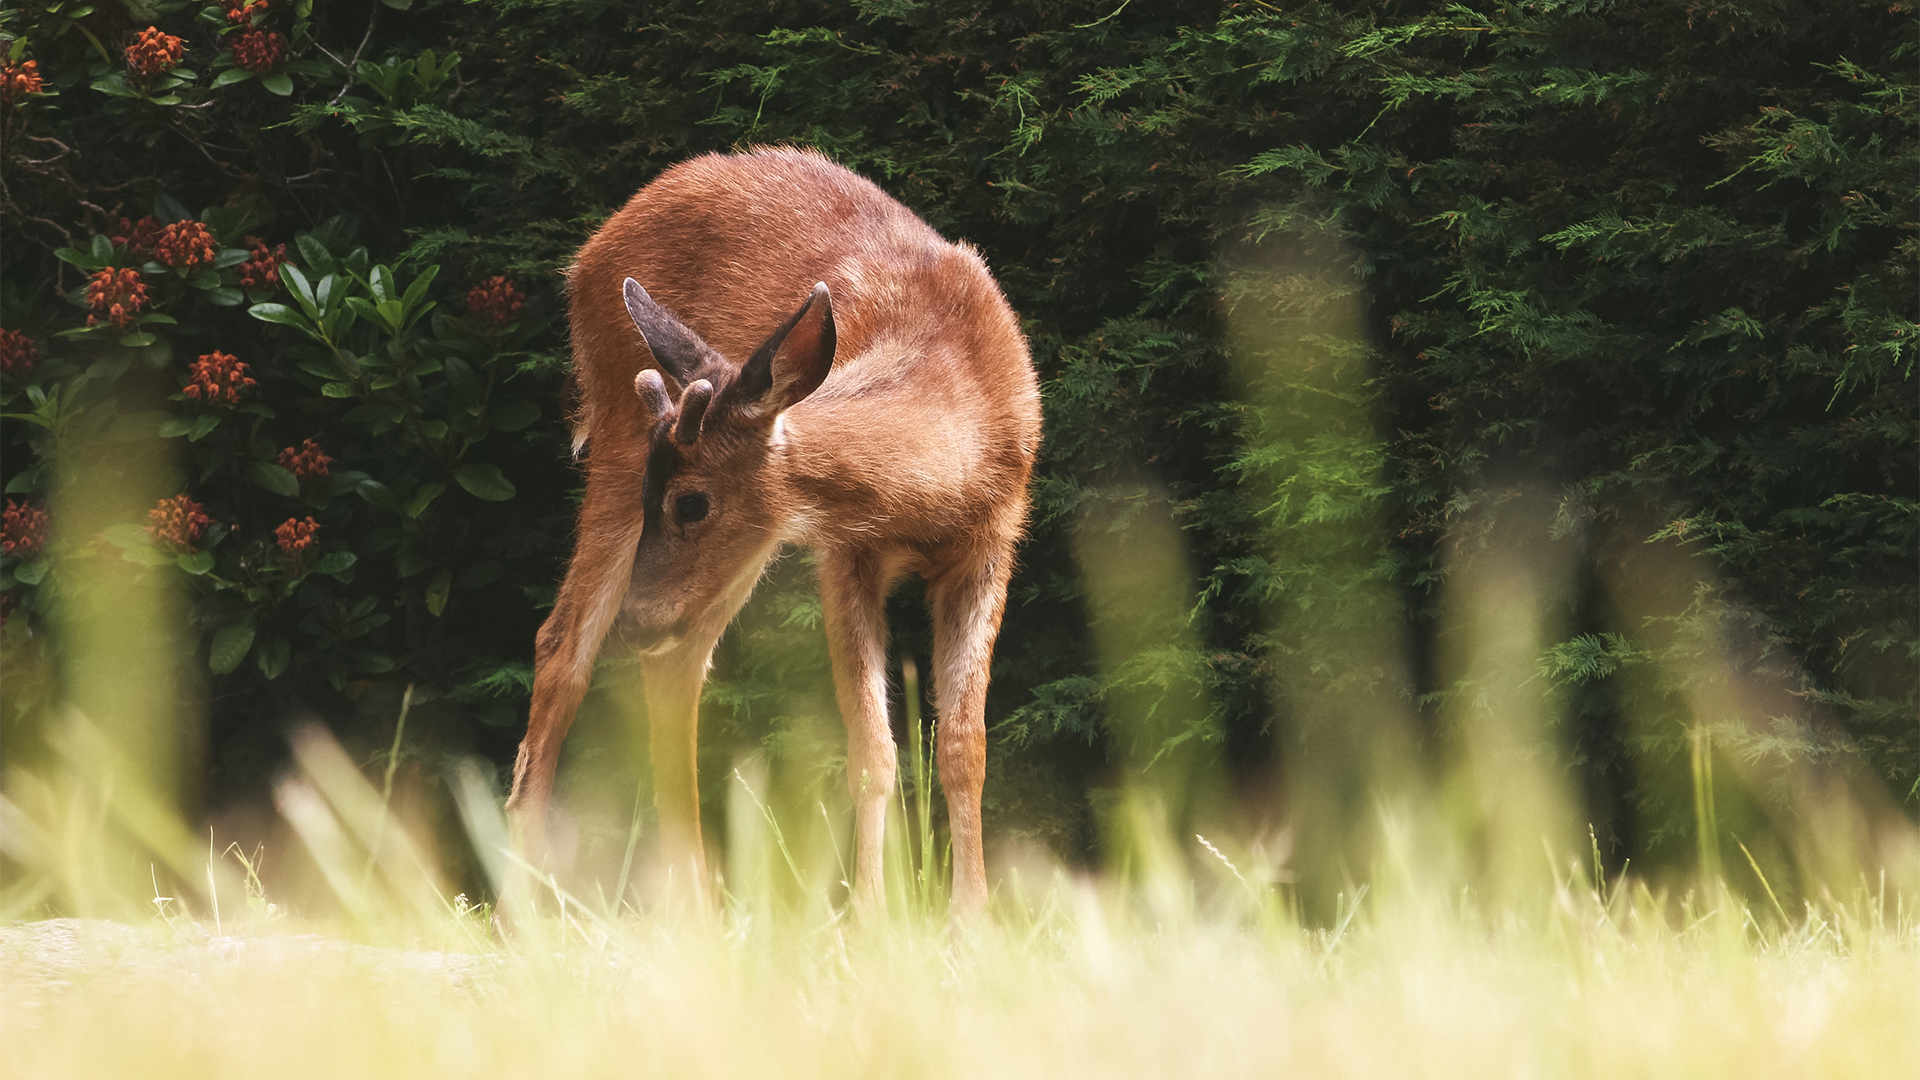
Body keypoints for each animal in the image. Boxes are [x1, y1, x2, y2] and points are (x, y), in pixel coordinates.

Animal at [504, 147, 1042, 919]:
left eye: (691, 503)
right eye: (662, 498)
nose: (634, 620)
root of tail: (587, 254)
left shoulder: (992, 544)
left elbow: (966, 748)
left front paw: (971, 917)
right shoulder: (845, 554)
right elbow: (871, 750)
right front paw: (869, 914)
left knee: (673, 665)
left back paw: (695, 902)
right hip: (617, 436)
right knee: (563, 645)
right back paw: (525, 902)